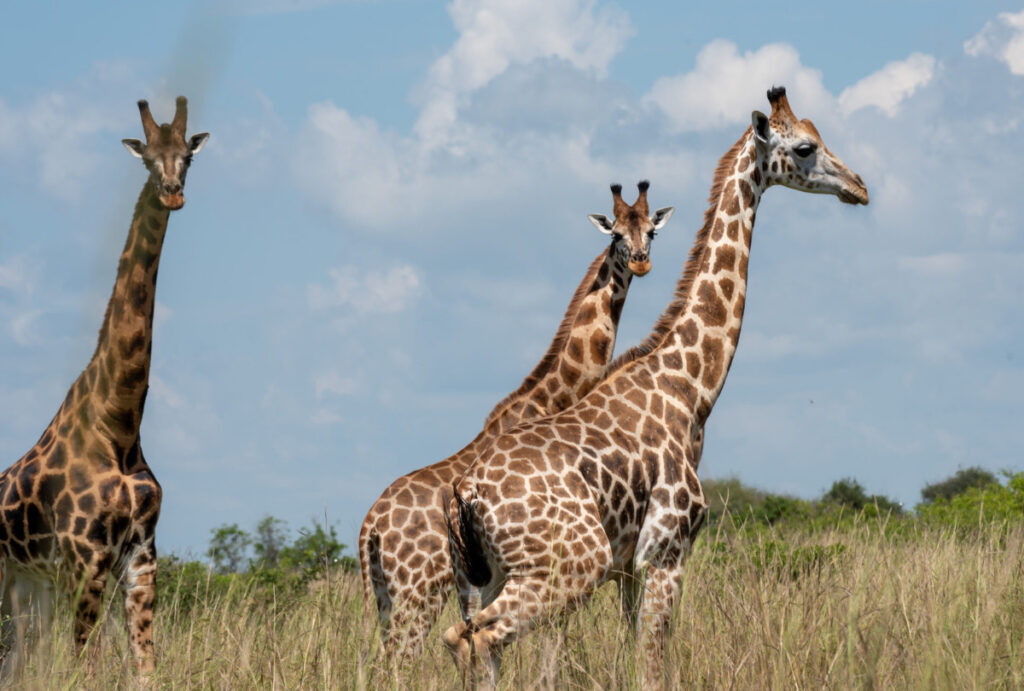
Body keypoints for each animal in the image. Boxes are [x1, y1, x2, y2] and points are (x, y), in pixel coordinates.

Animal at [0, 98, 208, 675]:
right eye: (148, 160)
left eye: (187, 157)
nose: (172, 192)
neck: (119, 424)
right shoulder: (84, 561)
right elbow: (83, 667)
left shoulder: (140, 558)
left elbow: (145, 669)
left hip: (30, 585)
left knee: (16, 660)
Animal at [356, 181, 675, 663]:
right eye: (617, 234)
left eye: (650, 232)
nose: (640, 261)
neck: (551, 398)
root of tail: (369, 531)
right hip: (417, 593)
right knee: (397, 661)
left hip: (385, 596)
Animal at [444, 84, 868, 687]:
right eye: (806, 147)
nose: (859, 187)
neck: (690, 387)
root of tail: (468, 492)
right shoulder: (666, 550)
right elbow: (652, 664)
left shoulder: (629, 565)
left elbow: (634, 654)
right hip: (570, 563)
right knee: (478, 638)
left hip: (481, 577)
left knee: (468, 639)